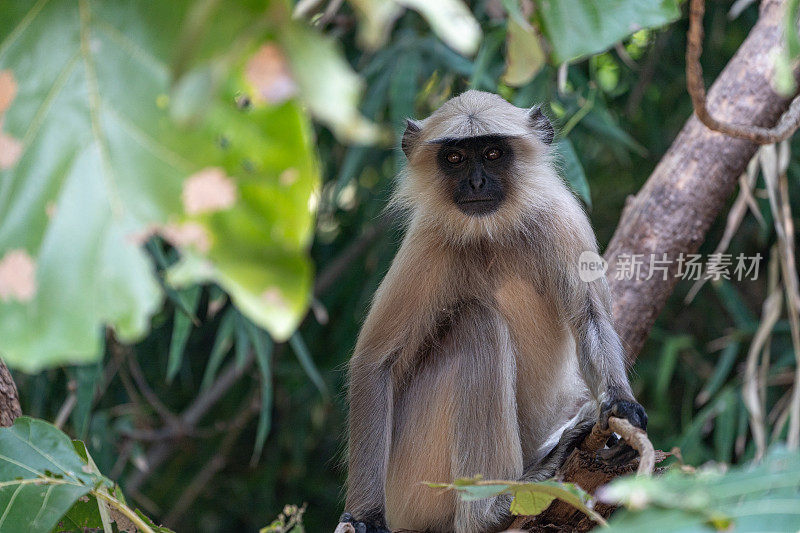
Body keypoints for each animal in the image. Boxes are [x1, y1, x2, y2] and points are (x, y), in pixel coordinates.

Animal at [340, 91, 648, 532]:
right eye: (454, 158)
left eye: (492, 153)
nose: (476, 182)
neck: (492, 232)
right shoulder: (429, 242)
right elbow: (373, 363)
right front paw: (365, 515)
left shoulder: (560, 217)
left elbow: (590, 320)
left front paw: (621, 405)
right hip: (409, 480)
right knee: (477, 323)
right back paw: (490, 511)